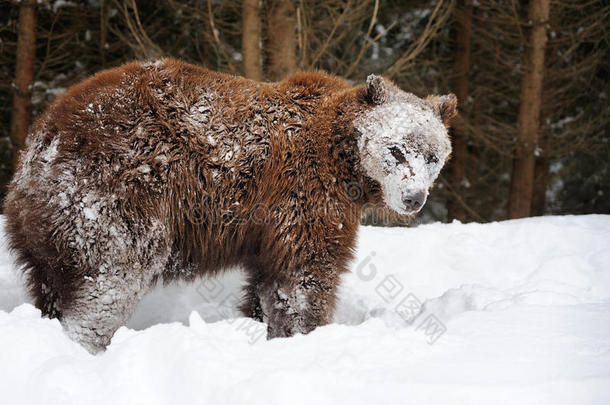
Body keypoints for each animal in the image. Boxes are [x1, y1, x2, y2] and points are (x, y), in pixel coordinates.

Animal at [3, 58, 452, 352]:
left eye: (433, 155)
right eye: (396, 149)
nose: (413, 198)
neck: (343, 162)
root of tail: (43, 138)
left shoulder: (268, 228)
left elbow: (268, 285)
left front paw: (269, 330)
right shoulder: (304, 197)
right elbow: (304, 276)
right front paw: (304, 334)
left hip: (48, 229)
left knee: (53, 285)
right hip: (116, 194)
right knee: (109, 282)